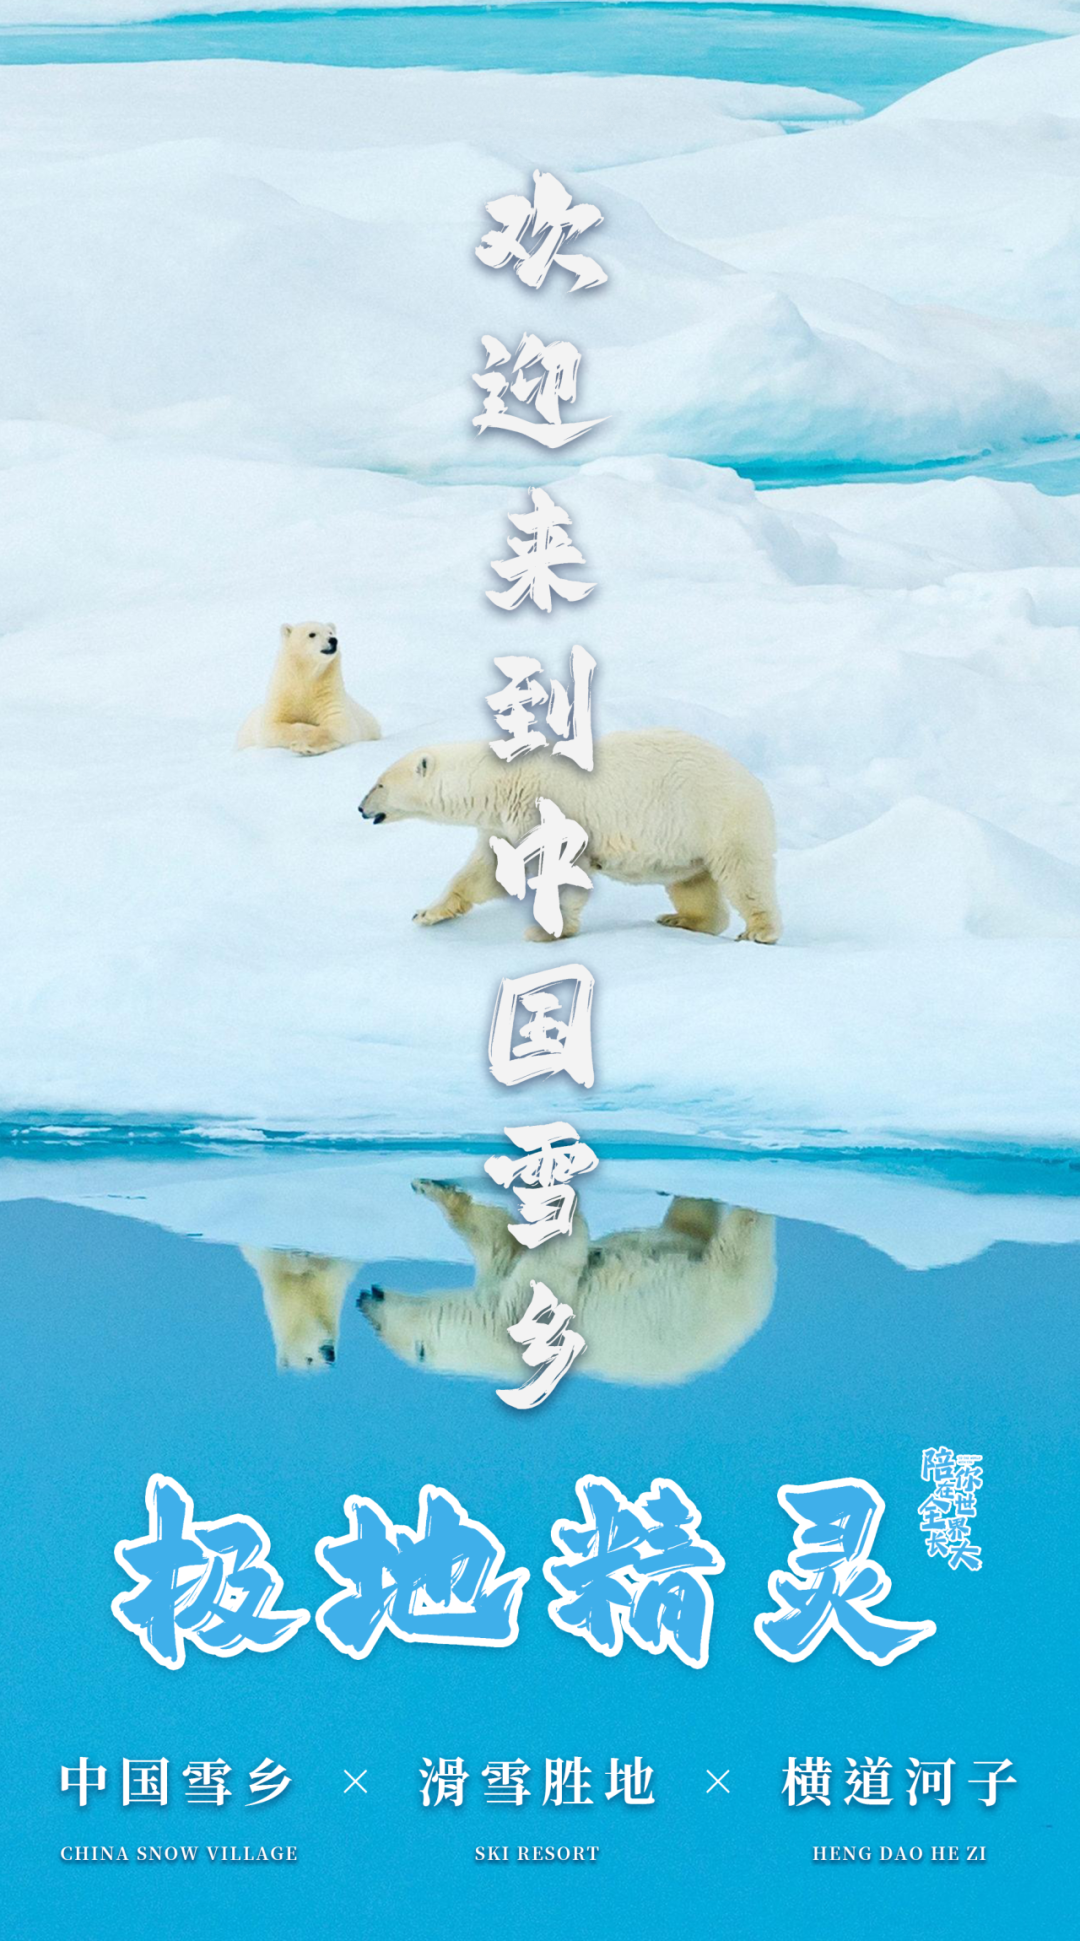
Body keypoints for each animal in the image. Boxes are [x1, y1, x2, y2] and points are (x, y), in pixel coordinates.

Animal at [237, 622, 380, 755]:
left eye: (330, 632)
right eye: (312, 634)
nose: (333, 640)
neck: (306, 678)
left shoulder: (328, 693)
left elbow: (339, 723)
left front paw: (306, 747)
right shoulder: (283, 696)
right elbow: (271, 727)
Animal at [356, 1181, 775, 1387]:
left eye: (377, 1328)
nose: (363, 1297)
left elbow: (504, 1241)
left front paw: (435, 1189)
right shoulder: (510, 1315)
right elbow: (535, 1258)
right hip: (720, 1285)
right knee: (716, 1234)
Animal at [359, 728, 780, 942]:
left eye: (378, 784)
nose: (361, 808)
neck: (499, 782)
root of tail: (753, 779)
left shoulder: (546, 807)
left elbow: (560, 871)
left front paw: (545, 930)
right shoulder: (505, 824)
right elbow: (484, 873)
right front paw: (426, 913)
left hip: (718, 816)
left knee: (744, 874)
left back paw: (759, 931)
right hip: (686, 839)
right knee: (692, 882)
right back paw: (683, 920)